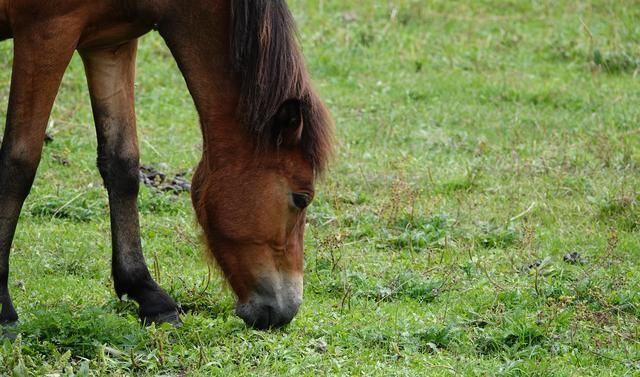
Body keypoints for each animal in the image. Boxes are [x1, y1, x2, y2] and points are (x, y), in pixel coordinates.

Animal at [1, 0, 336, 328]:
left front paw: (147, 294)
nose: (286, 311)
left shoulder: (111, 43)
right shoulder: (46, 33)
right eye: (301, 199)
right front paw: (4, 309)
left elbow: (122, 163)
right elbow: (18, 163)